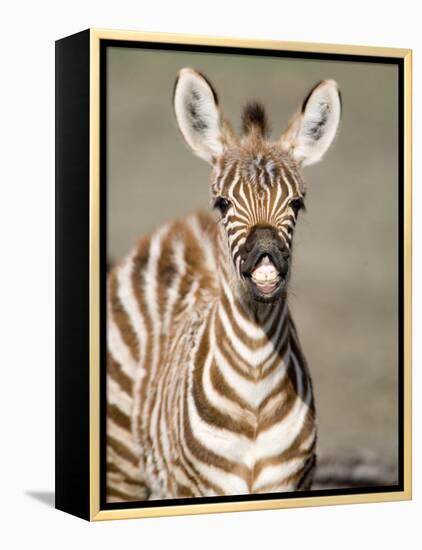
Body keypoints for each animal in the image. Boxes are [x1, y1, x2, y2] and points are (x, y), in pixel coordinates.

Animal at [107, 67, 342, 502]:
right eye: (223, 203)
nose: (265, 257)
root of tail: (182, 225)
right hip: (122, 466)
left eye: (297, 203)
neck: (255, 384)